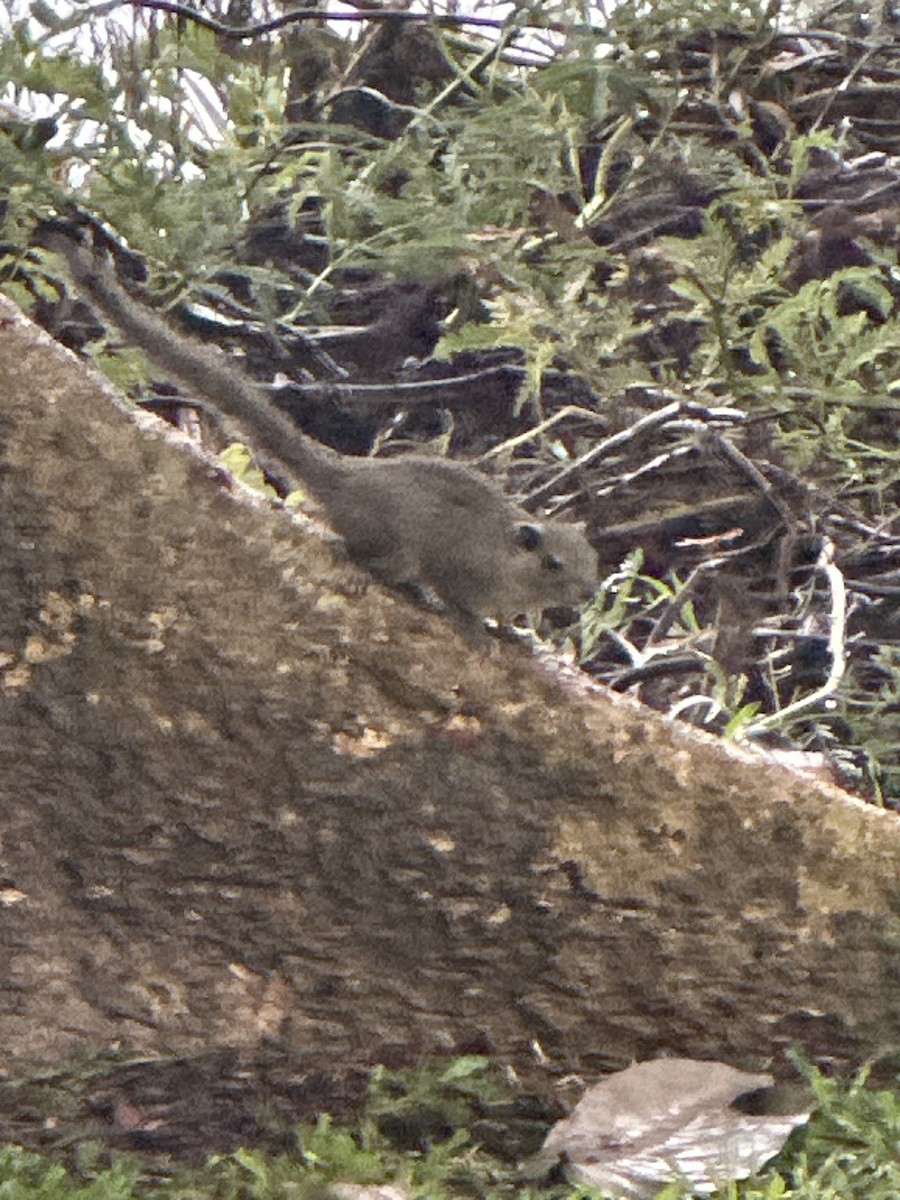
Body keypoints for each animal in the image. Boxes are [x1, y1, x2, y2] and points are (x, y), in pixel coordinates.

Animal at [45, 232, 598, 636]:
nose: (589, 592)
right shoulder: (459, 571)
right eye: (553, 564)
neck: (508, 561)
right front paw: (478, 628)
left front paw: (515, 634)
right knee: (356, 552)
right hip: (392, 547)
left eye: (590, 559)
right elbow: (461, 603)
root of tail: (344, 476)